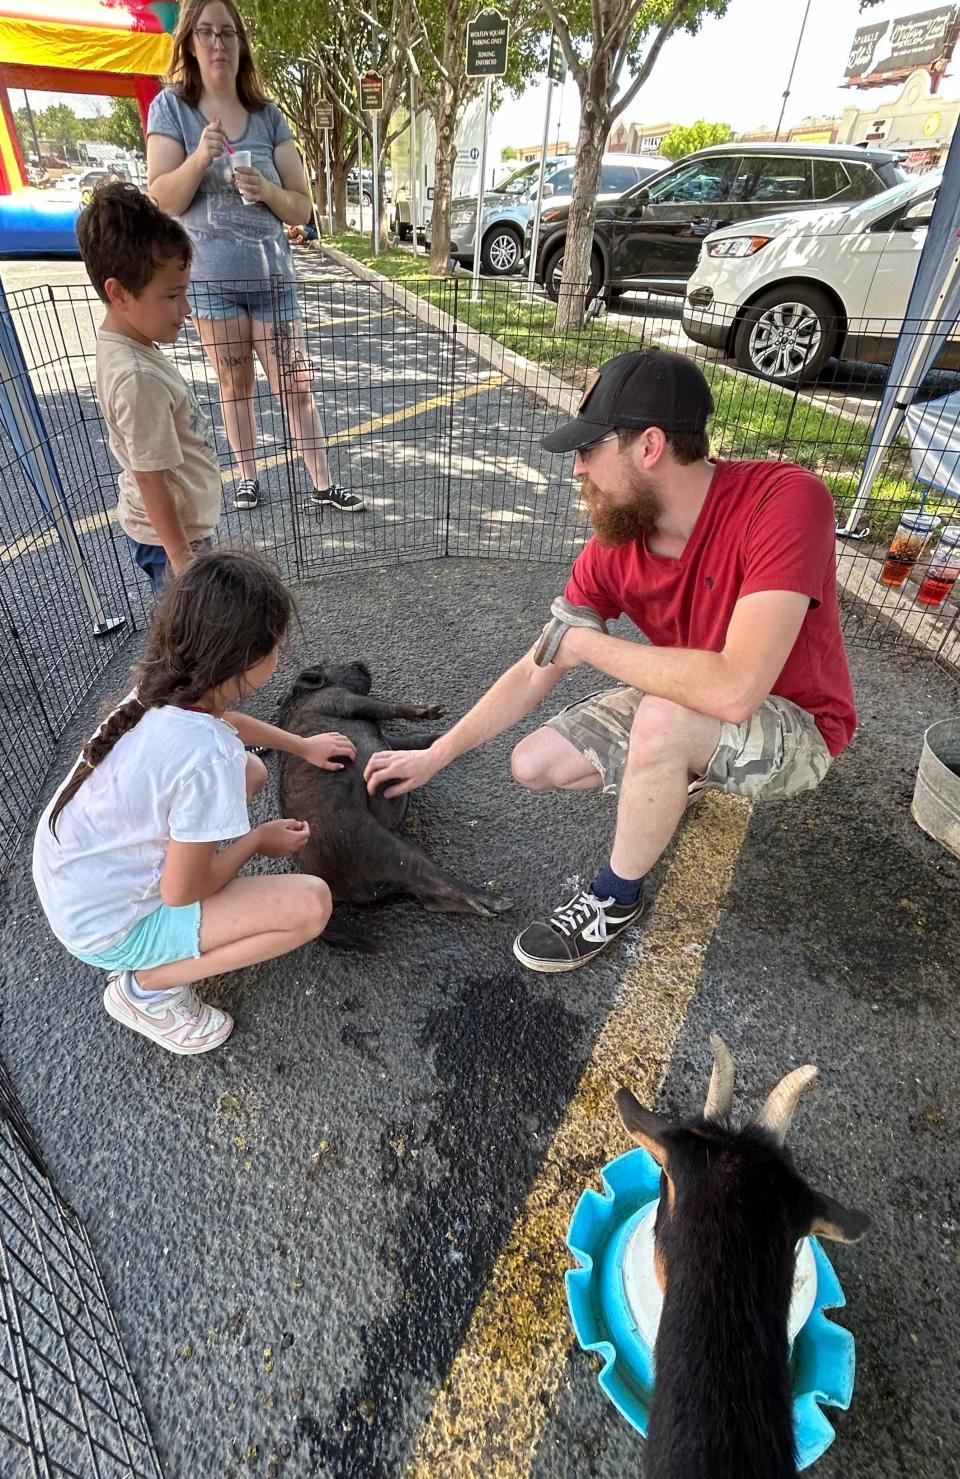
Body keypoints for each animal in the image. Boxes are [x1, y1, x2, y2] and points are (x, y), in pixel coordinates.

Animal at [273, 662, 508, 940]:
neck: (304, 698)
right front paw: (434, 711)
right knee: (428, 877)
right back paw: (496, 903)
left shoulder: (385, 736)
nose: (361, 662)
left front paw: (439, 736)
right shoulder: (338, 699)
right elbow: (383, 707)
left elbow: (405, 743)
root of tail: (323, 883)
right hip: (370, 841)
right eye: (330, 664)